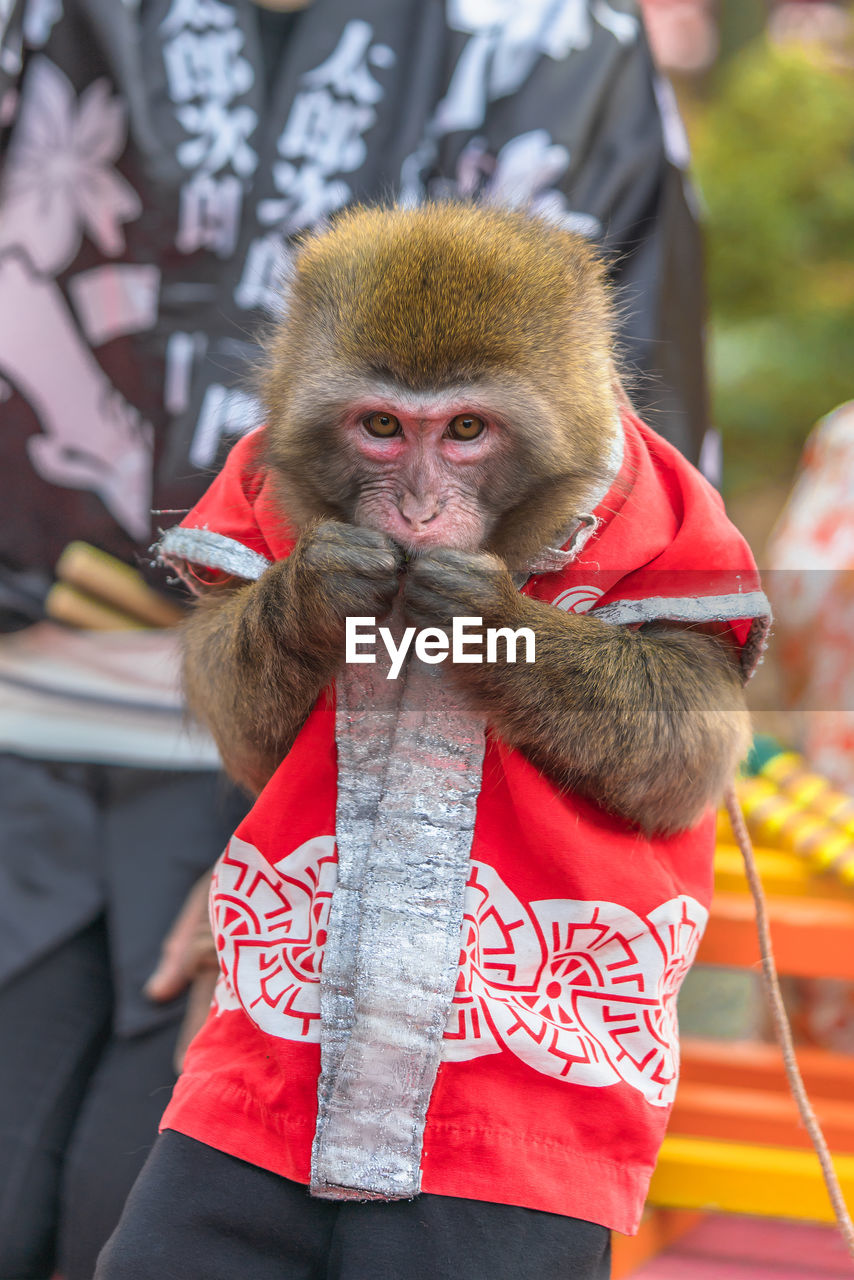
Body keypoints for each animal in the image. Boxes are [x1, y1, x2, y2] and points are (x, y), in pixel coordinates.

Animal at [179, 204, 747, 834]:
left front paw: (487, 620)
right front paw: (314, 587)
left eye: (467, 427)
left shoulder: (675, 520)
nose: (418, 511)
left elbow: (694, 737)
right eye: (382, 424)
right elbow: (239, 723)